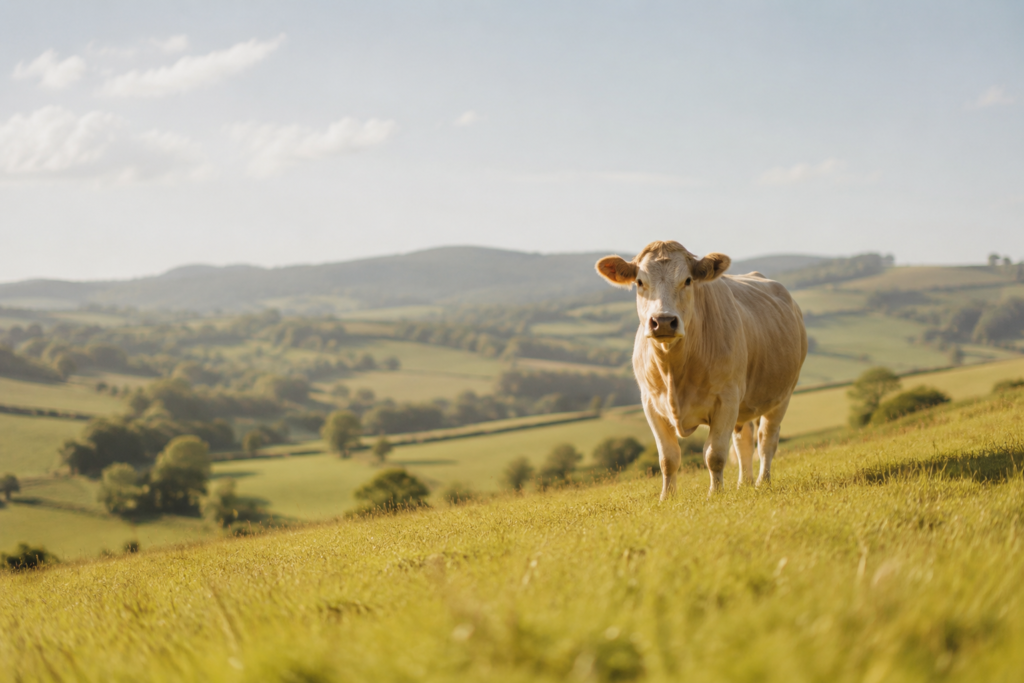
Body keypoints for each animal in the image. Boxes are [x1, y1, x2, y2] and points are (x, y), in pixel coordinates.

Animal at [595, 240, 807, 499]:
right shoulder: (650, 404)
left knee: (767, 439)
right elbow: (668, 458)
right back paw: (743, 484)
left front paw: (715, 494)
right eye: (639, 282)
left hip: (782, 395)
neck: (673, 370)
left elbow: (714, 455)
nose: (663, 321)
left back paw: (761, 482)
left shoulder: (726, 399)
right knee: (743, 441)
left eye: (688, 280)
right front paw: (667, 498)